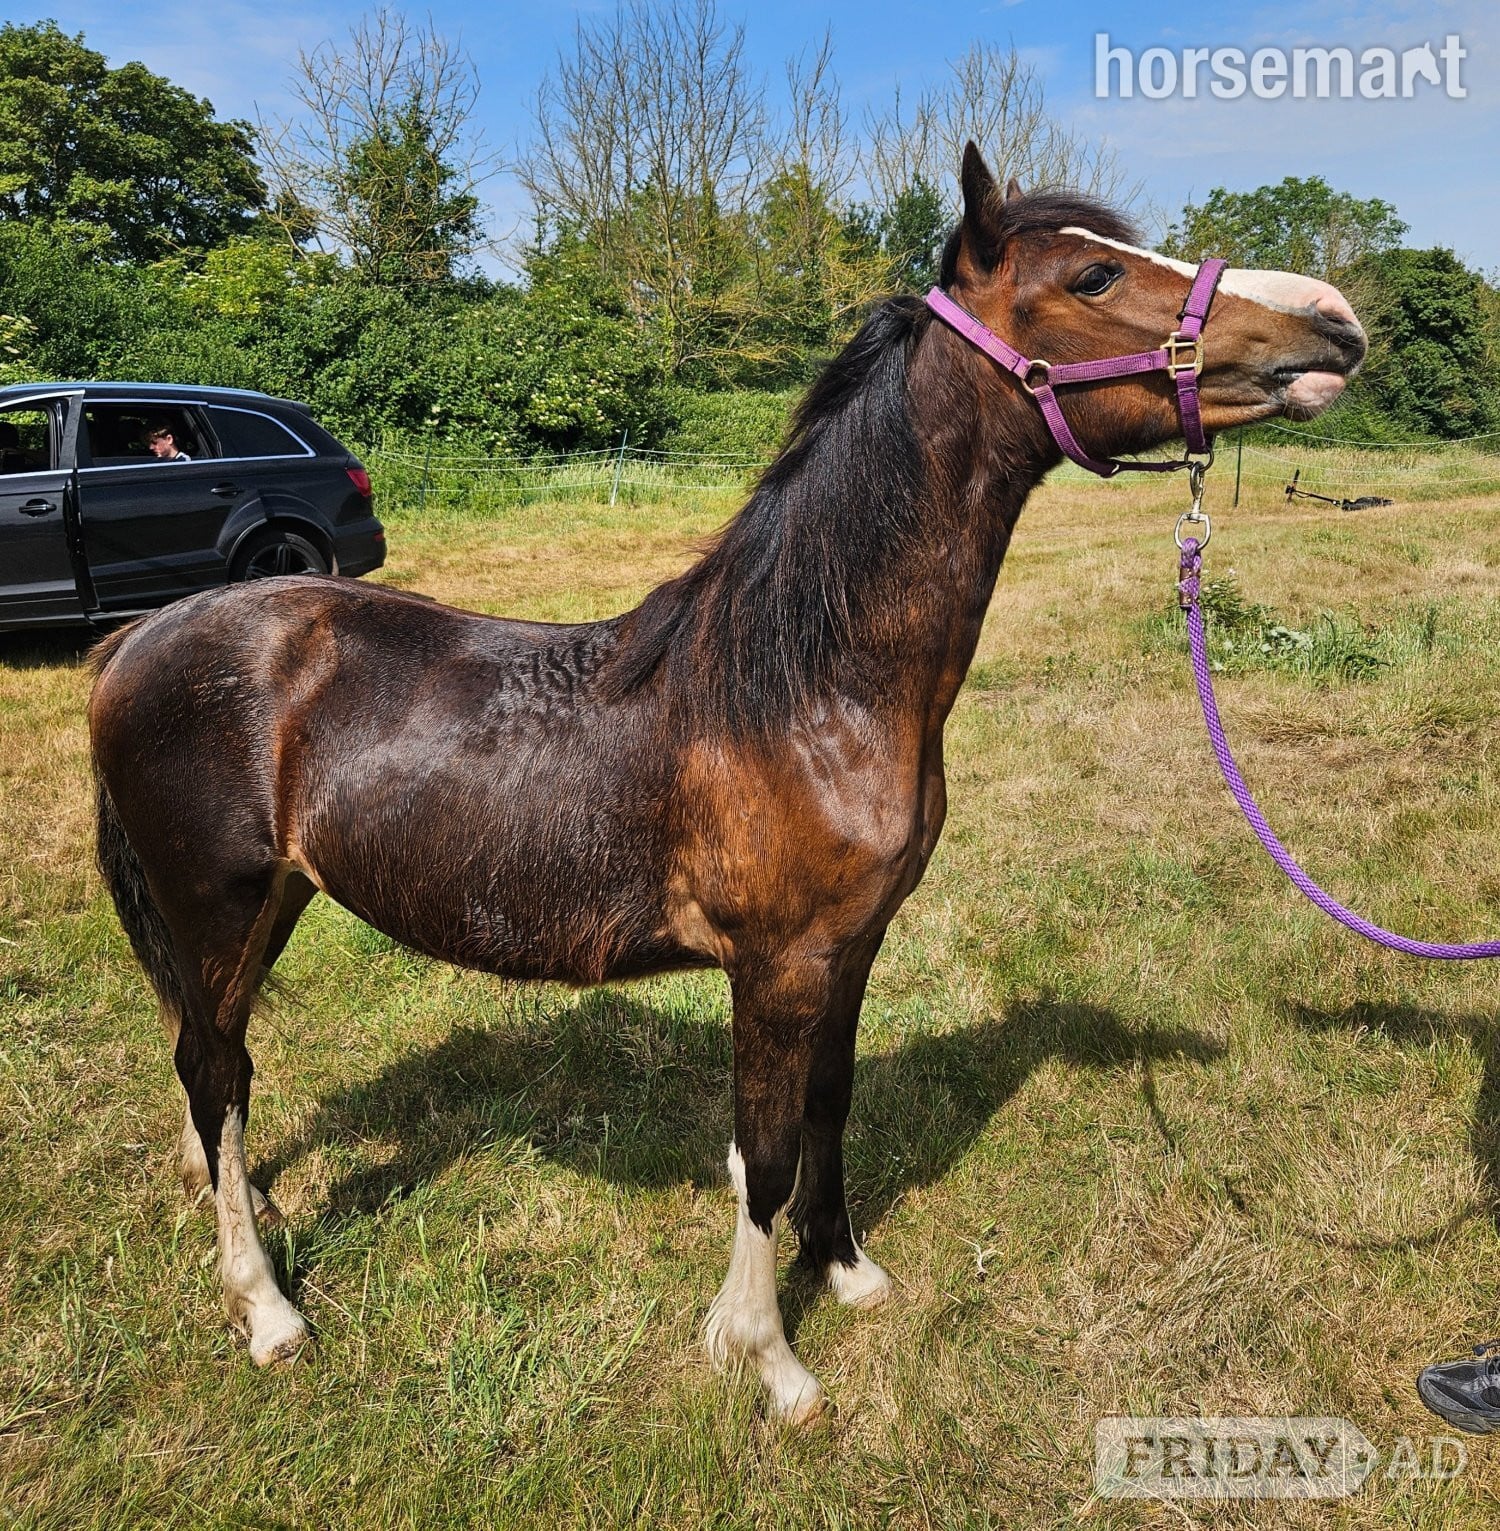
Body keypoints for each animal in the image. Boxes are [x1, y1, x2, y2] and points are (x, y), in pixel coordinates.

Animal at [89, 144, 1366, 1423]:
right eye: (1095, 275)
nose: (1335, 324)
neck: (809, 683)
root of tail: (138, 640)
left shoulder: (851, 948)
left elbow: (828, 1107)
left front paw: (844, 1271)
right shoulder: (777, 962)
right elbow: (764, 1150)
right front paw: (769, 1358)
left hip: (270, 905)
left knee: (216, 1069)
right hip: (217, 904)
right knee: (213, 1067)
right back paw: (266, 1308)